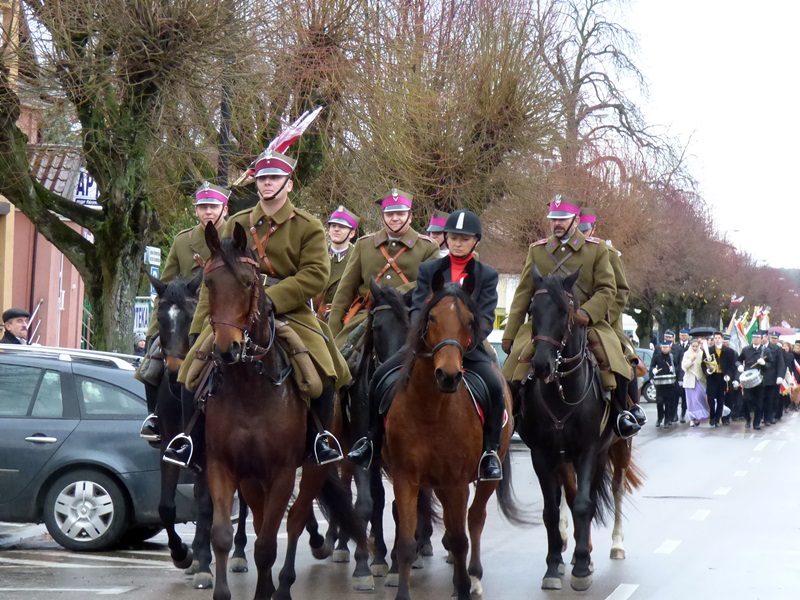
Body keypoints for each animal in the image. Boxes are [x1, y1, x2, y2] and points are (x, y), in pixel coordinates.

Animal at [147, 271, 250, 588]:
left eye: (192, 316)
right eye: (160, 317)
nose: (172, 371)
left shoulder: (210, 453)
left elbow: (206, 506)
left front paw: (203, 562)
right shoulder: (172, 447)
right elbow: (167, 506)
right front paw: (183, 555)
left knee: (243, 505)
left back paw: (239, 553)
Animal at [201, 222, 366, 600]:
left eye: (249, 282)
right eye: (208, 283)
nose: (226, 349)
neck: (250, 388)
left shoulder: (283, 472)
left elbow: (268, 544)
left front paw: (269, 590)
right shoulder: (225, 467)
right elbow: (223, 535)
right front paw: (224, 591)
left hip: (315, 467)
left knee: (294, 522)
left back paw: (286, 583)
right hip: (253, 478)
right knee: (265, 521)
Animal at [382, 273, 522, 600]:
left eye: (470, 320)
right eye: (431, 317)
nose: (448, 375)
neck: (431, 409)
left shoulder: (455, 483)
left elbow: (461, 538)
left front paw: (463, 585)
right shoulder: (406, 479)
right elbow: (406, 542)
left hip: (485, 476)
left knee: (475, 519)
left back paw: (474, 575)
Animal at [515, 266, 616, 592]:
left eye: (564, 311)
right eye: (532, 310)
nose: (542, 365)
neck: (561, 393)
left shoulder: (587, 451)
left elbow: (584, 505)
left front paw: (582, 567)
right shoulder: (542, 455)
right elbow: (550, 510)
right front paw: (552, 566)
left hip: (605, 453)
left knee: (593, 498)